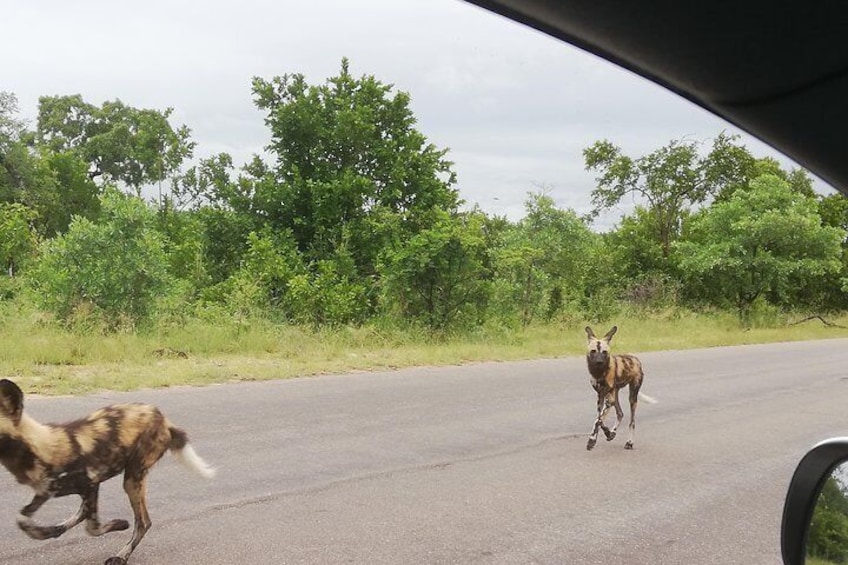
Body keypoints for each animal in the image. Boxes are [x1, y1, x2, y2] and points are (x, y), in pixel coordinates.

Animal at [0, 378, 215, 564]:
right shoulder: (46, 492)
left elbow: (92, 528)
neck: (40, 449)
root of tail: (163, 419)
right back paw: (58, 529)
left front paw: (119, 524)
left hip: (132, 480)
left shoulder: (90, 485)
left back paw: (121, 556)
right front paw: (43, 532)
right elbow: (22, 519)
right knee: (85, 513)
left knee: (143, 522)